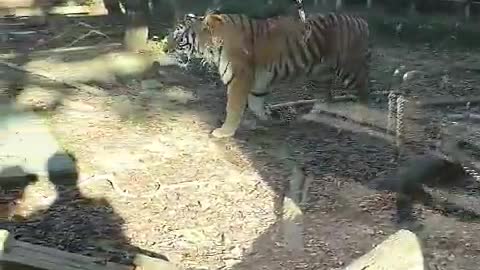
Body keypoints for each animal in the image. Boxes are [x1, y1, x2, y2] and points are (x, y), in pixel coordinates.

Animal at [164, 11, 372, 138]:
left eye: (179, 37)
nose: (165, 49)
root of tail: (361, 21)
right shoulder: (258, 80)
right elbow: (256, 102)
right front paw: (269, 119)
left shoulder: (239, 78)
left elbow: (234, 107)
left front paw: (225, 132)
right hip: (321, 74)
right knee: (325, 98)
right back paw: (313, 116)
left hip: (349, 69)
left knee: (364, 93)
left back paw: (363, 117)